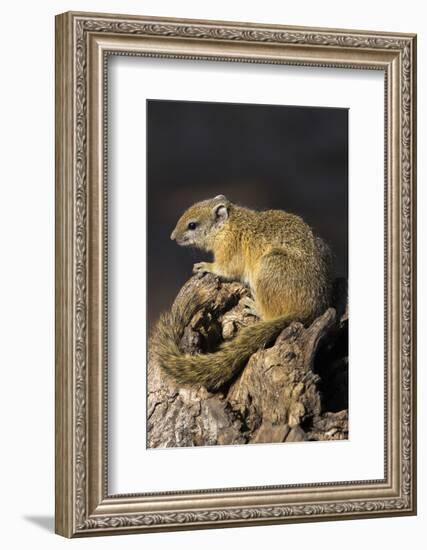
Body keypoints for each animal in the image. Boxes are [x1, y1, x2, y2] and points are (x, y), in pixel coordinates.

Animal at [152, 194, 332, 392]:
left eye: (192, 225)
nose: (172, 236)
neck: (229, 225)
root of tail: (310, 310)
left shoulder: (230, 251)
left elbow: (225, 269)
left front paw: (206, 266)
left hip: (268, 266)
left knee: (269, 315)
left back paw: (254, 306)